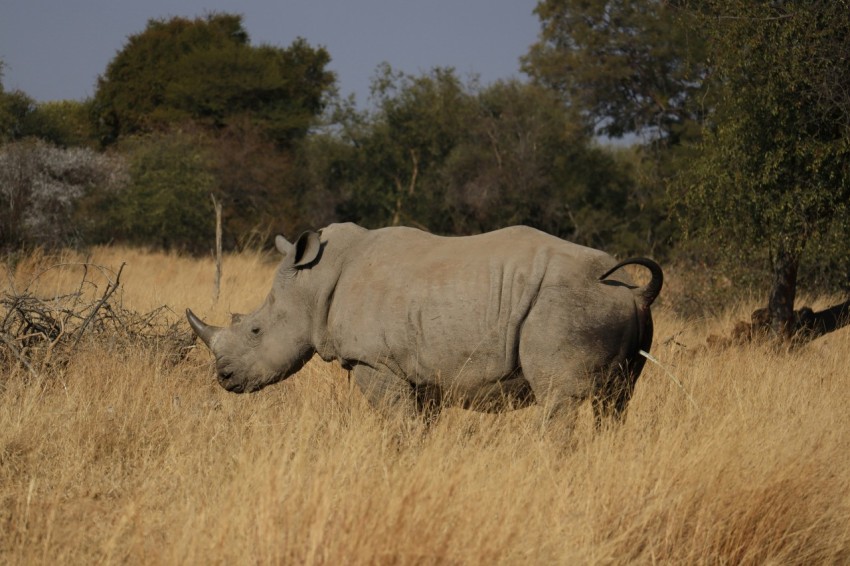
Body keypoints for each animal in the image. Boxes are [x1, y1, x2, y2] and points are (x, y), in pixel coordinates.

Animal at [186, 223, 662, 426]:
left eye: (254, 332)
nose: (223, 378)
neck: (314, 282)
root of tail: (633, 293)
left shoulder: (376, 362)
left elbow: (399, 425)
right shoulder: (422, 372)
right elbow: (420, 425)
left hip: (566, 306)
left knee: (558, 399)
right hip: (606, 310)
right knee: (615, 403)